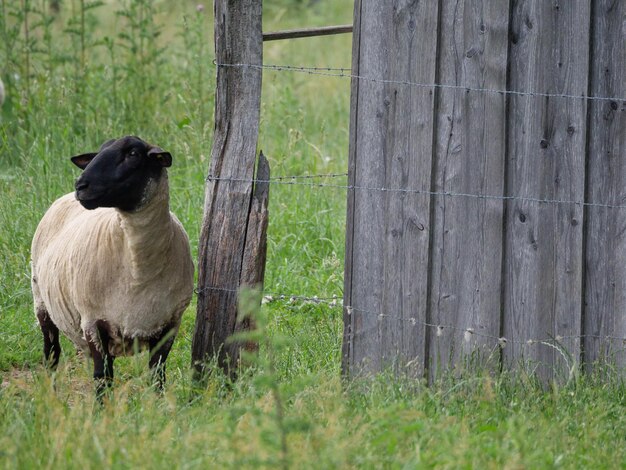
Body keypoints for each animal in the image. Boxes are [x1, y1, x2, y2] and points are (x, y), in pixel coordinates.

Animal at [31, 135, 193, 396]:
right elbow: (102, 378)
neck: (138, 269)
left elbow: (157, 376)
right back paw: (51, 396)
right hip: (41, 303)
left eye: (133, 154)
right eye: (99, 151)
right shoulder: (92, 323)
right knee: (52, 354)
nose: (81, 186)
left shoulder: (170, 324)